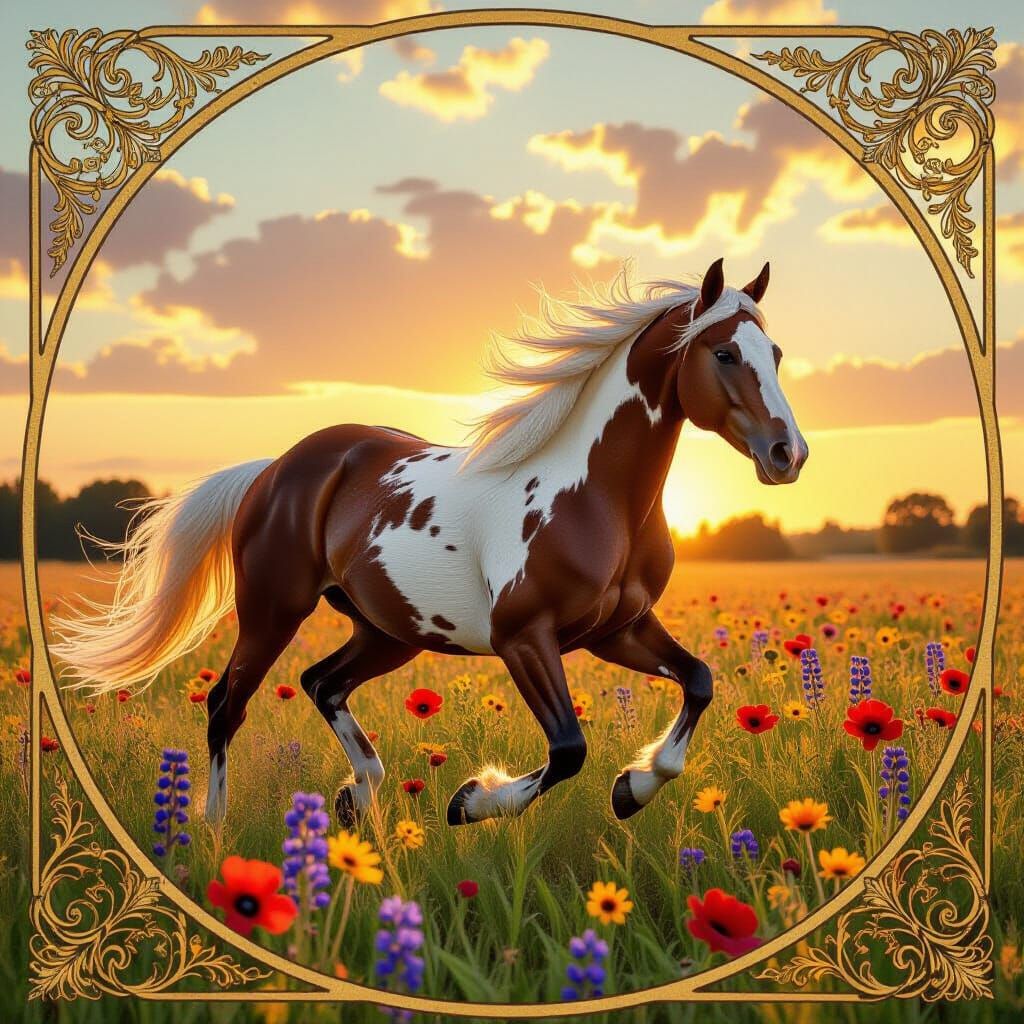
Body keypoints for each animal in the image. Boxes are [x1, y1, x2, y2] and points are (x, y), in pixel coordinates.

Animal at [52, 258, 808, 828]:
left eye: (774, 353)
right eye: (724, 352)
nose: (788, 454)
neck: (595, 497)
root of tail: (273, 470)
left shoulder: (618, 630)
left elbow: (700, 682)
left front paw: (633, 788)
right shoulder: (523, 638)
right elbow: (568, 748)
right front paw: (470, 802)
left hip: (391, 630)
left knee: (321, 683)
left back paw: (356, 798)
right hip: (272, 611)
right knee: (225, 706)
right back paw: (211, 828)